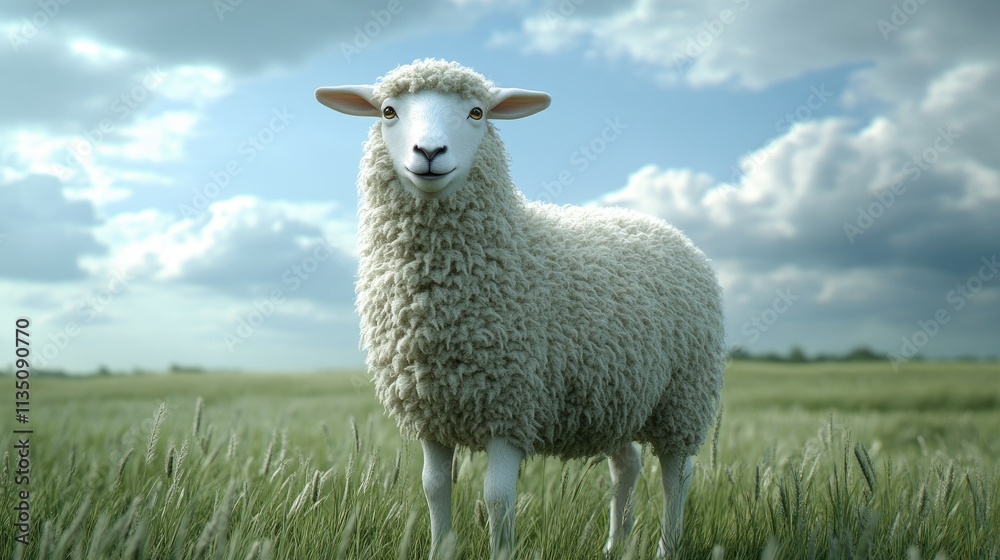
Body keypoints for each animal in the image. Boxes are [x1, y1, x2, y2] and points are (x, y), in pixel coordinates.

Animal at [315, 59, 725, 559]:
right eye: (388, 111)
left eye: (477, 112)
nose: (429, 151)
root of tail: (662, 226)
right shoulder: (431, 408)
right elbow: (433, 486)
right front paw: (441, 548)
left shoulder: (510, 405)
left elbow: (497, 497)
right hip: (616, 394)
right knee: (626, 464)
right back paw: (616, 543)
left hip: (683, 395)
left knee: (676, 473)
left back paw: (668, 545)